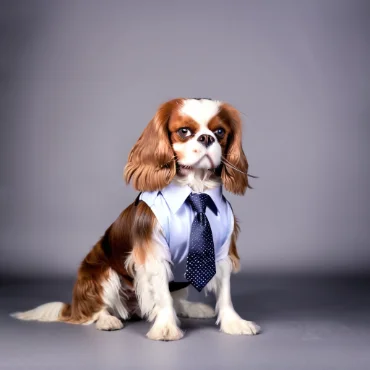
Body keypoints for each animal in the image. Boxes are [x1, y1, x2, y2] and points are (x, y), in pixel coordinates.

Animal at [10, 97, 260, 340]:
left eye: (220, 132)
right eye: (184, 131)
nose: (207, 138)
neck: (195, 190)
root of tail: (75, 306)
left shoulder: (221, 250)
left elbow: (225, 292)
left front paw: (233, 323)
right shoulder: (153, 252)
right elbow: (162, 294)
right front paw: (166, 328)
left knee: (176, 299)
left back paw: (191, 308)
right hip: (103, 274)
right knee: (96, 310)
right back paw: (107, 320)